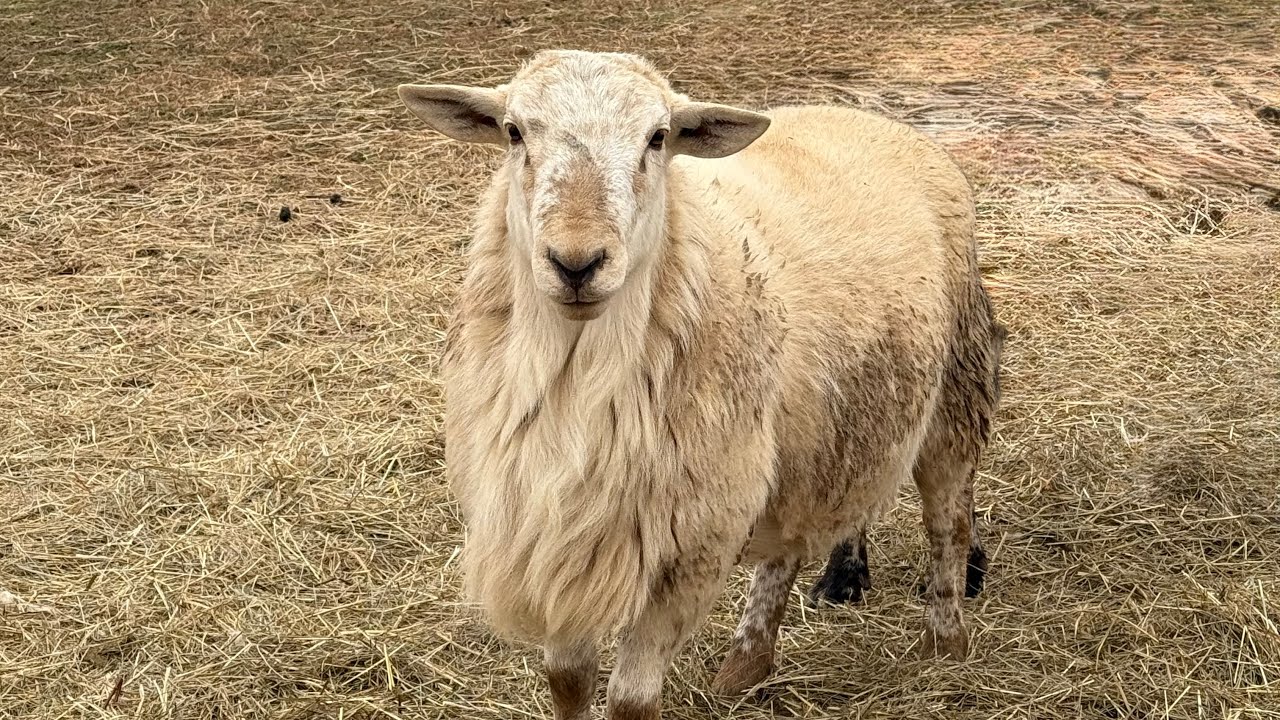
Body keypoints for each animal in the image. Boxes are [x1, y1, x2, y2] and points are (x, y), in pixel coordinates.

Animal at [397, 49, 1004, 720]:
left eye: (658, 138)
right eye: (513, 132)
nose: (577, 263)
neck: (578, 376)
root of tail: (866, 117)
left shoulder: (689, 547)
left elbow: (631, 700)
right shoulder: (558, 534)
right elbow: (568, 681)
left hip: (955, 389)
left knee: (947, 520)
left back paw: (946, 642)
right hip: (815, 432)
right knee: (794, 536)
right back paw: (752, 657)